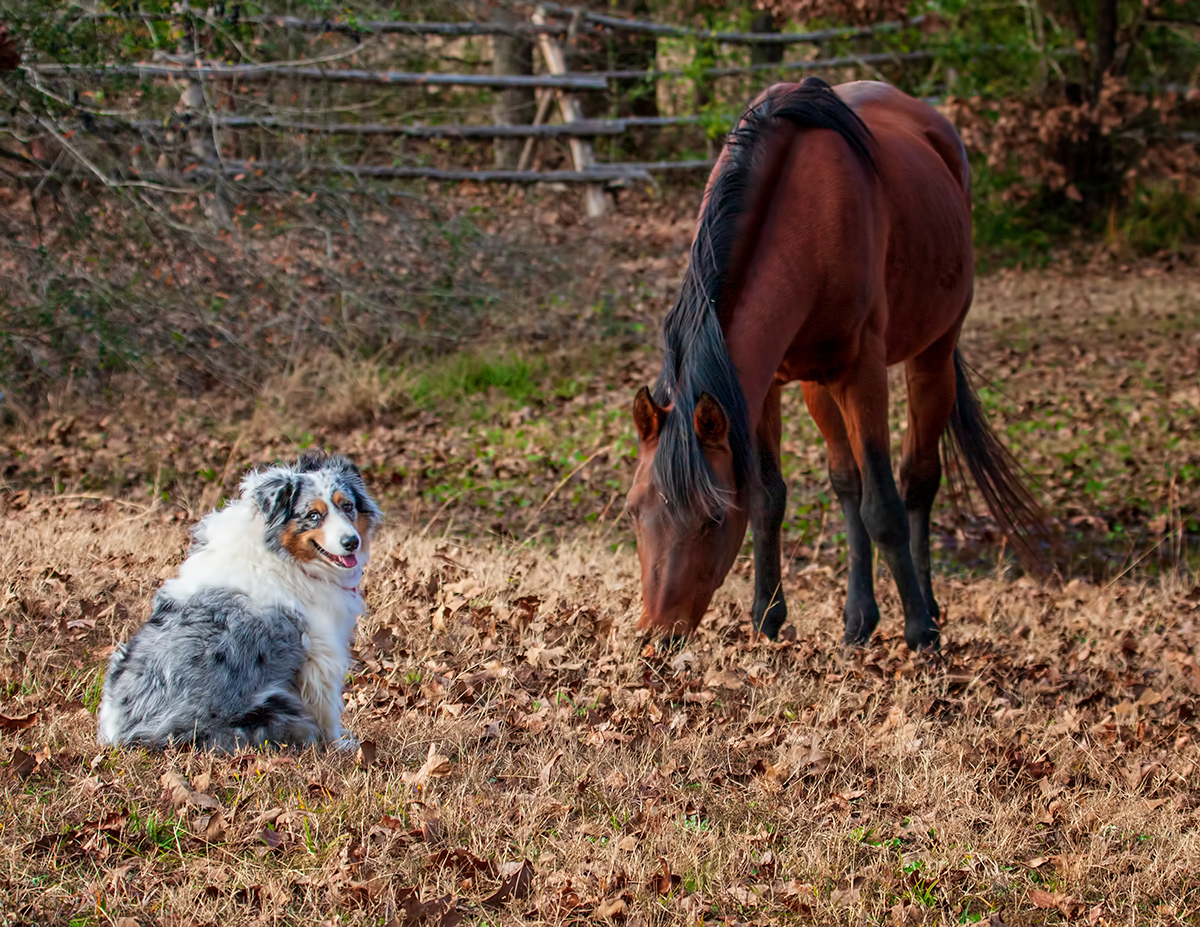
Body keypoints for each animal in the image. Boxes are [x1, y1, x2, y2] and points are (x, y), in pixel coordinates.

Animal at [628, 78, 1041, 653]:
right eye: (633, 510)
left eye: (712, 519)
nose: (657, 637)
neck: (803, 218)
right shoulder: (764, 388)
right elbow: (769, 497)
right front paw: (768, 617)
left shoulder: (863, 374)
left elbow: (884, 508)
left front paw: (919, 630)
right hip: (818, 386)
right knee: (847, 481)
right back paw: (859, 619)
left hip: (930, 356)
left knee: (916, 480)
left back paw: (928, 610)